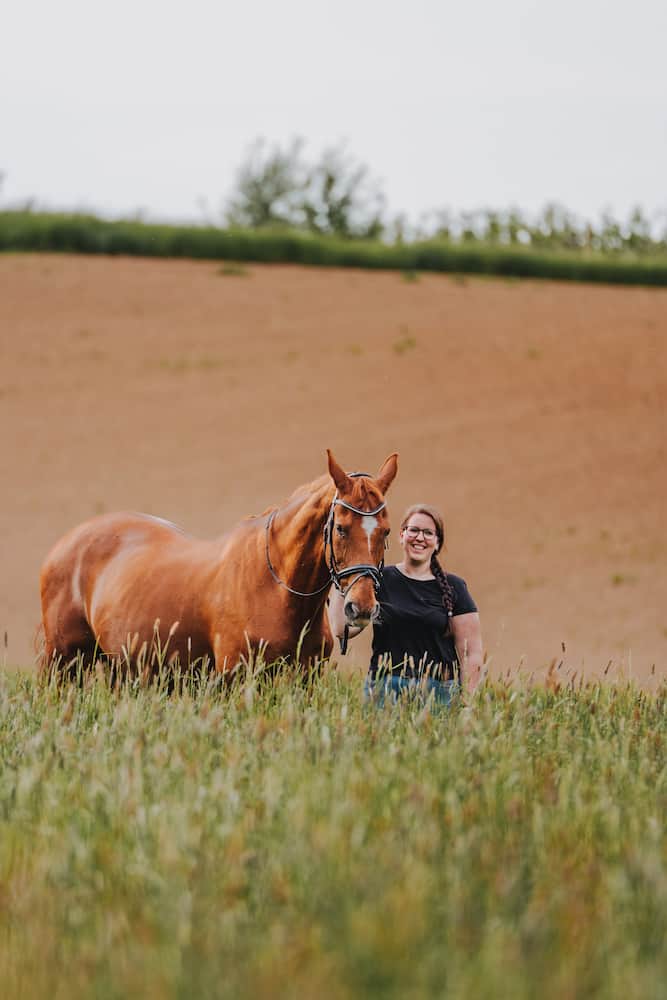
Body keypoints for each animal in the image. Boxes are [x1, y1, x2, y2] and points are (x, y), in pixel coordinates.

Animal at [39, 450, 398, 677]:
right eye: (341, 528)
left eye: (386, 531)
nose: (361, 607)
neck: (276, 589)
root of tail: (67, 542)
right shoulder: (235, 676)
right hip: (65, 661)